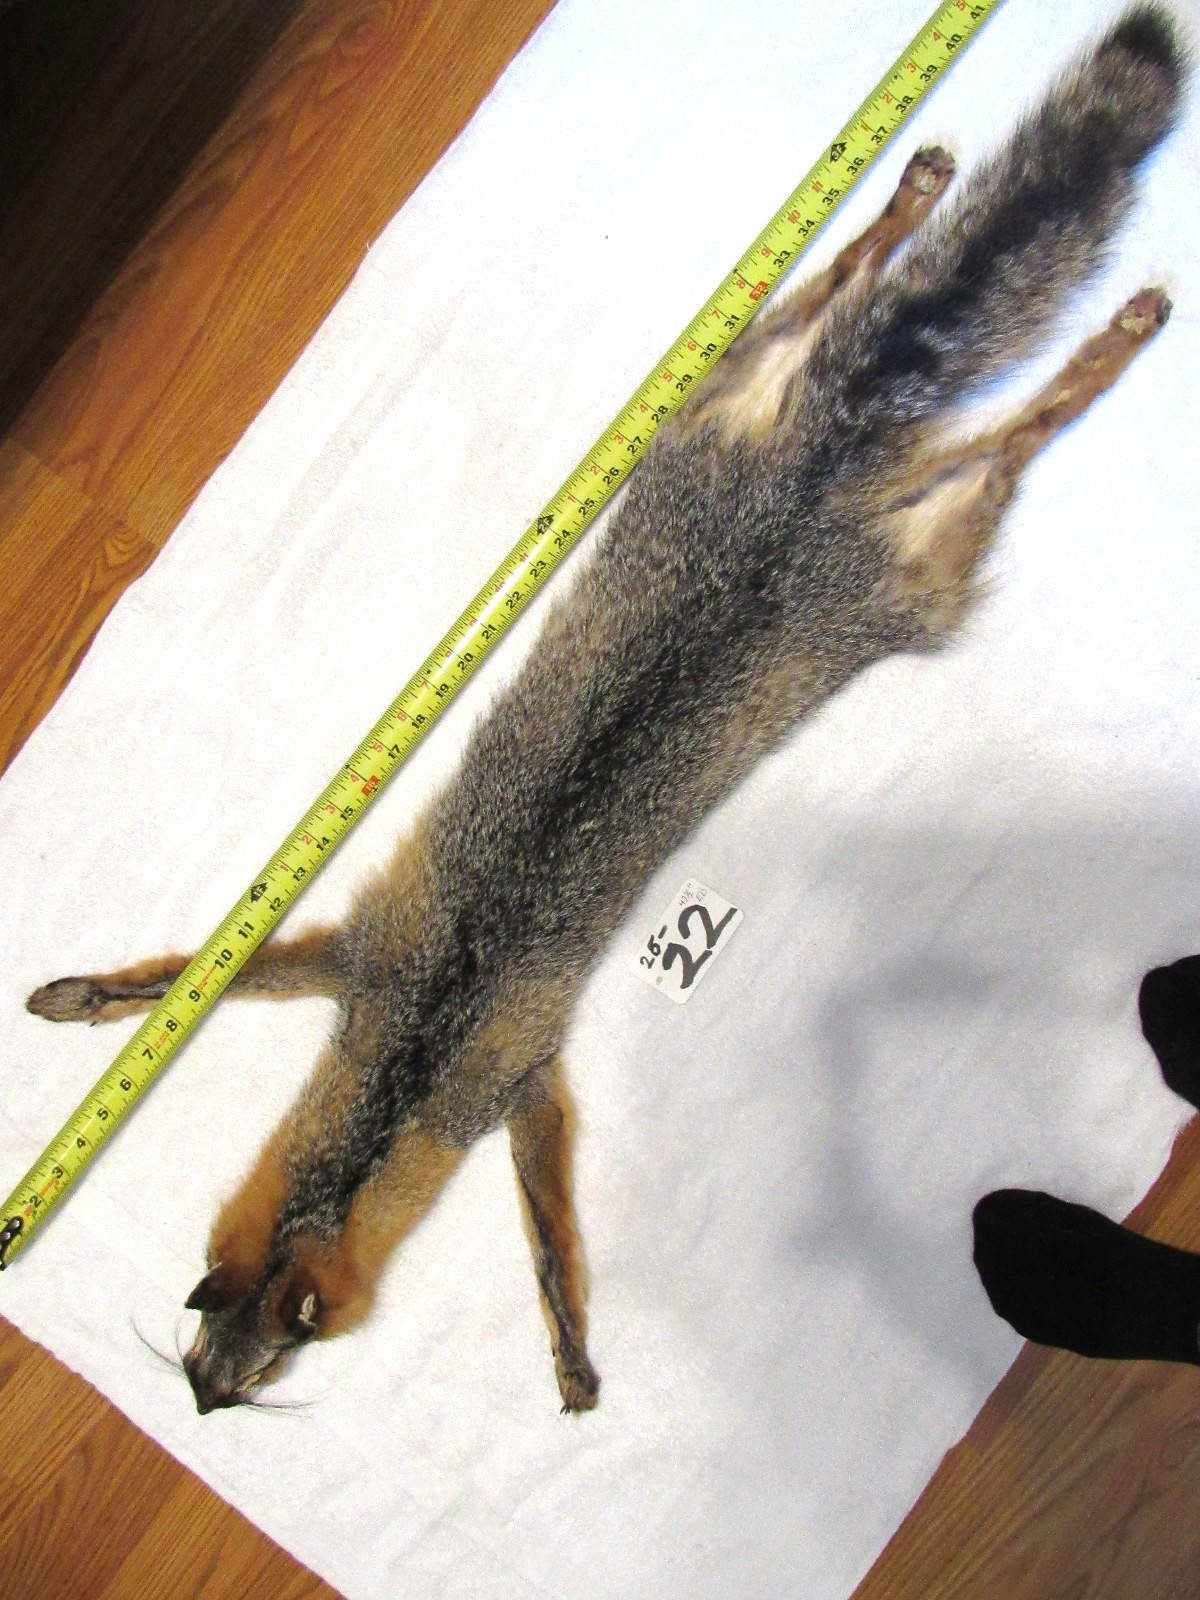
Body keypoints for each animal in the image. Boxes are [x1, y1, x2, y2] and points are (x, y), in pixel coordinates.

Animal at [25, 7, 1185, 1415]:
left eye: (268, 1366)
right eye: (205, 1336)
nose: (194, 1398)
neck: (413, 1053)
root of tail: (822, 472)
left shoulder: (504, 1068)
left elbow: (543, 1225)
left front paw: (568, 1336)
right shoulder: (359, 962)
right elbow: (189, 974)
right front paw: (100, 998)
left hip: (922, 564)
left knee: (1019, 422)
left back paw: (1099, 336)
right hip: (742, 407)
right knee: (853, 307)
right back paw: (918, 212)